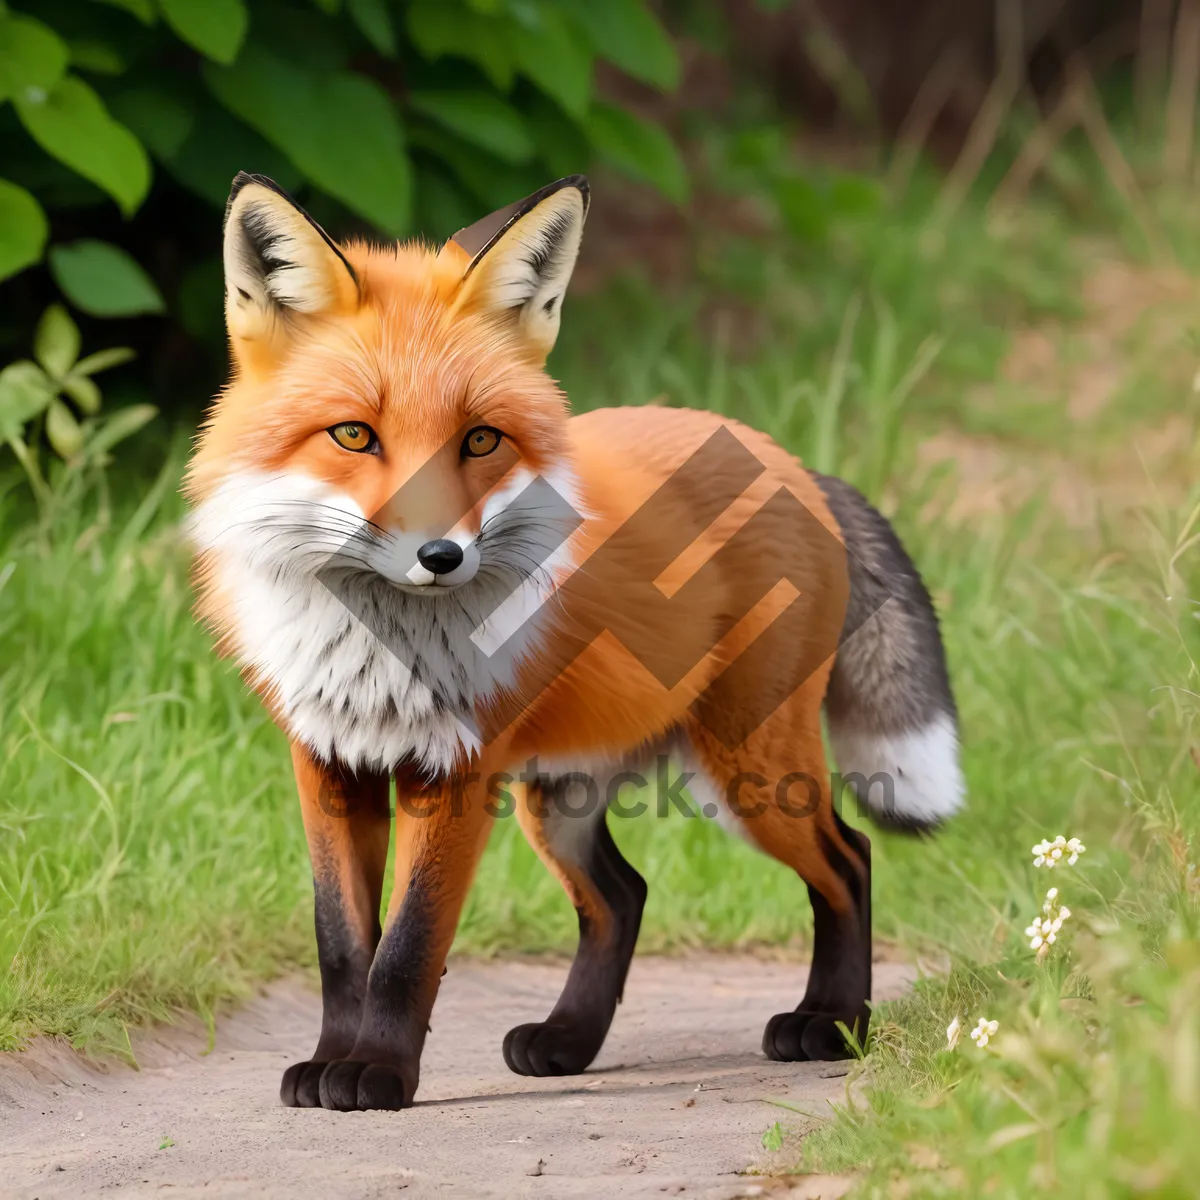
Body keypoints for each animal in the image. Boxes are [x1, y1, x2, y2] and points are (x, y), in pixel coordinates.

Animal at [182, 174, 960, 1108]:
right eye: (354, 435)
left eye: (480, 439)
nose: (441, 556)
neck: (377, 650)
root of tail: (791, 463)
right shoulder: (329, 762)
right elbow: (341, 944)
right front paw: (335, 1060)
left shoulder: (458, 771)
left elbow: (406, 948)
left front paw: (376, 1073)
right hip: (559, 795)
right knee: (623, 895)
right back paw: (568, 1041)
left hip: (746, 771)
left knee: (849, 859)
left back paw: (833, 1024)